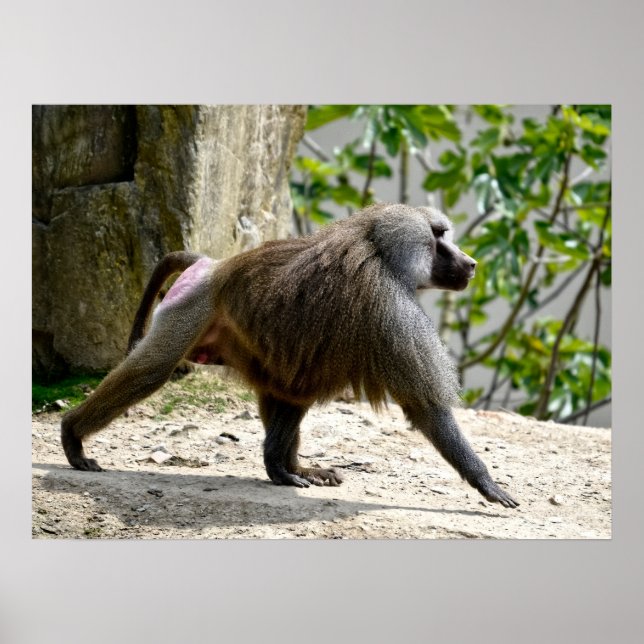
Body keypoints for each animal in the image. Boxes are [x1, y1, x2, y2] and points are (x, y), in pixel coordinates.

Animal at [61, 203, 518, 508]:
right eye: (439, 237)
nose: (470, 263)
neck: (380, 248)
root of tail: (214, 266)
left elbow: (293, 390)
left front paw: (285, 466)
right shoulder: (392, 309)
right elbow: (426, 407)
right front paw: (488, 483)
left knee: (284, 389)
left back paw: (292, 467)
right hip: (192, 308)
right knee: (152, 371)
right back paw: (72, 437)